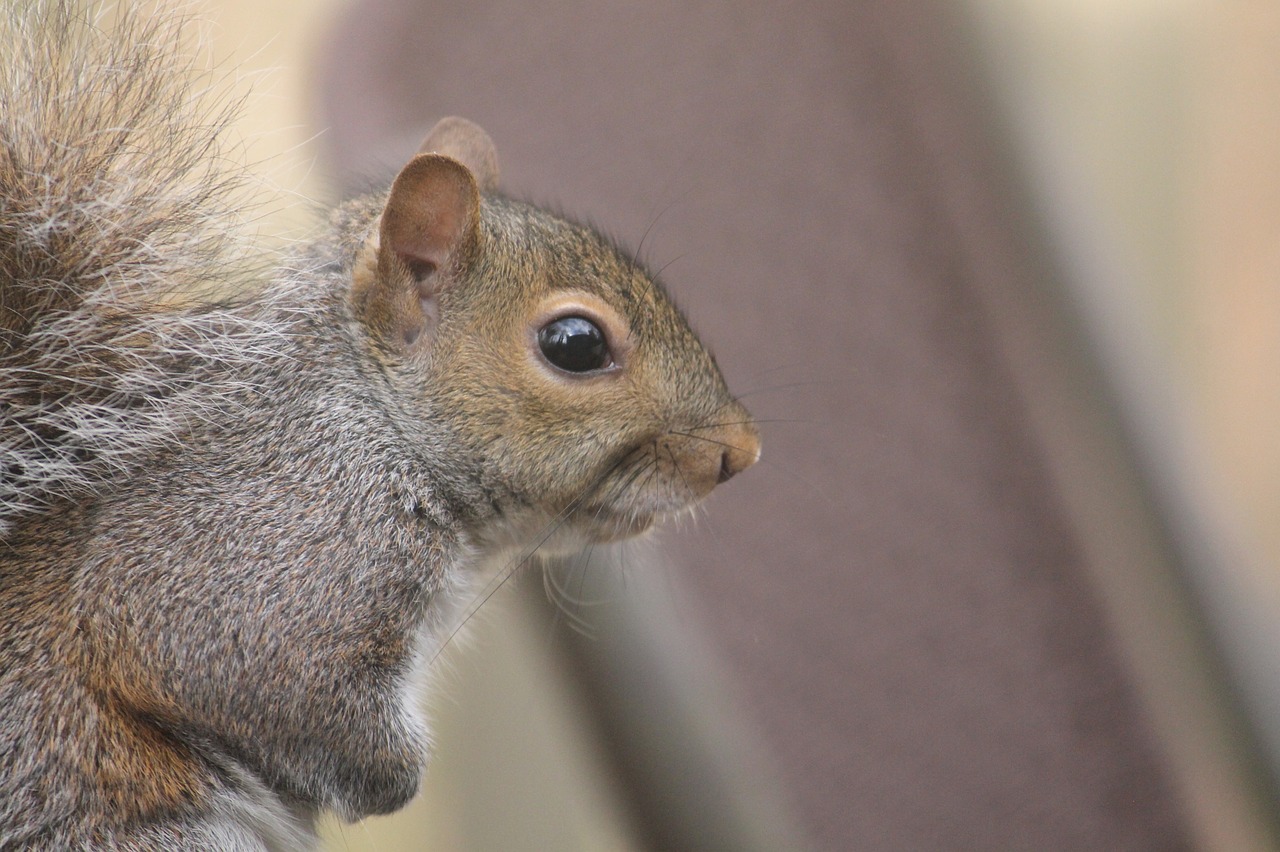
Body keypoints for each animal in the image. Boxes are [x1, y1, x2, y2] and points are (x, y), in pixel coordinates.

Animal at [0, 3, 757, 844]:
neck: (375, 418)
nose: (741, 451)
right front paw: (386, 781)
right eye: (576, 345)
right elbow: (221, 667)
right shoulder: (268, 548)